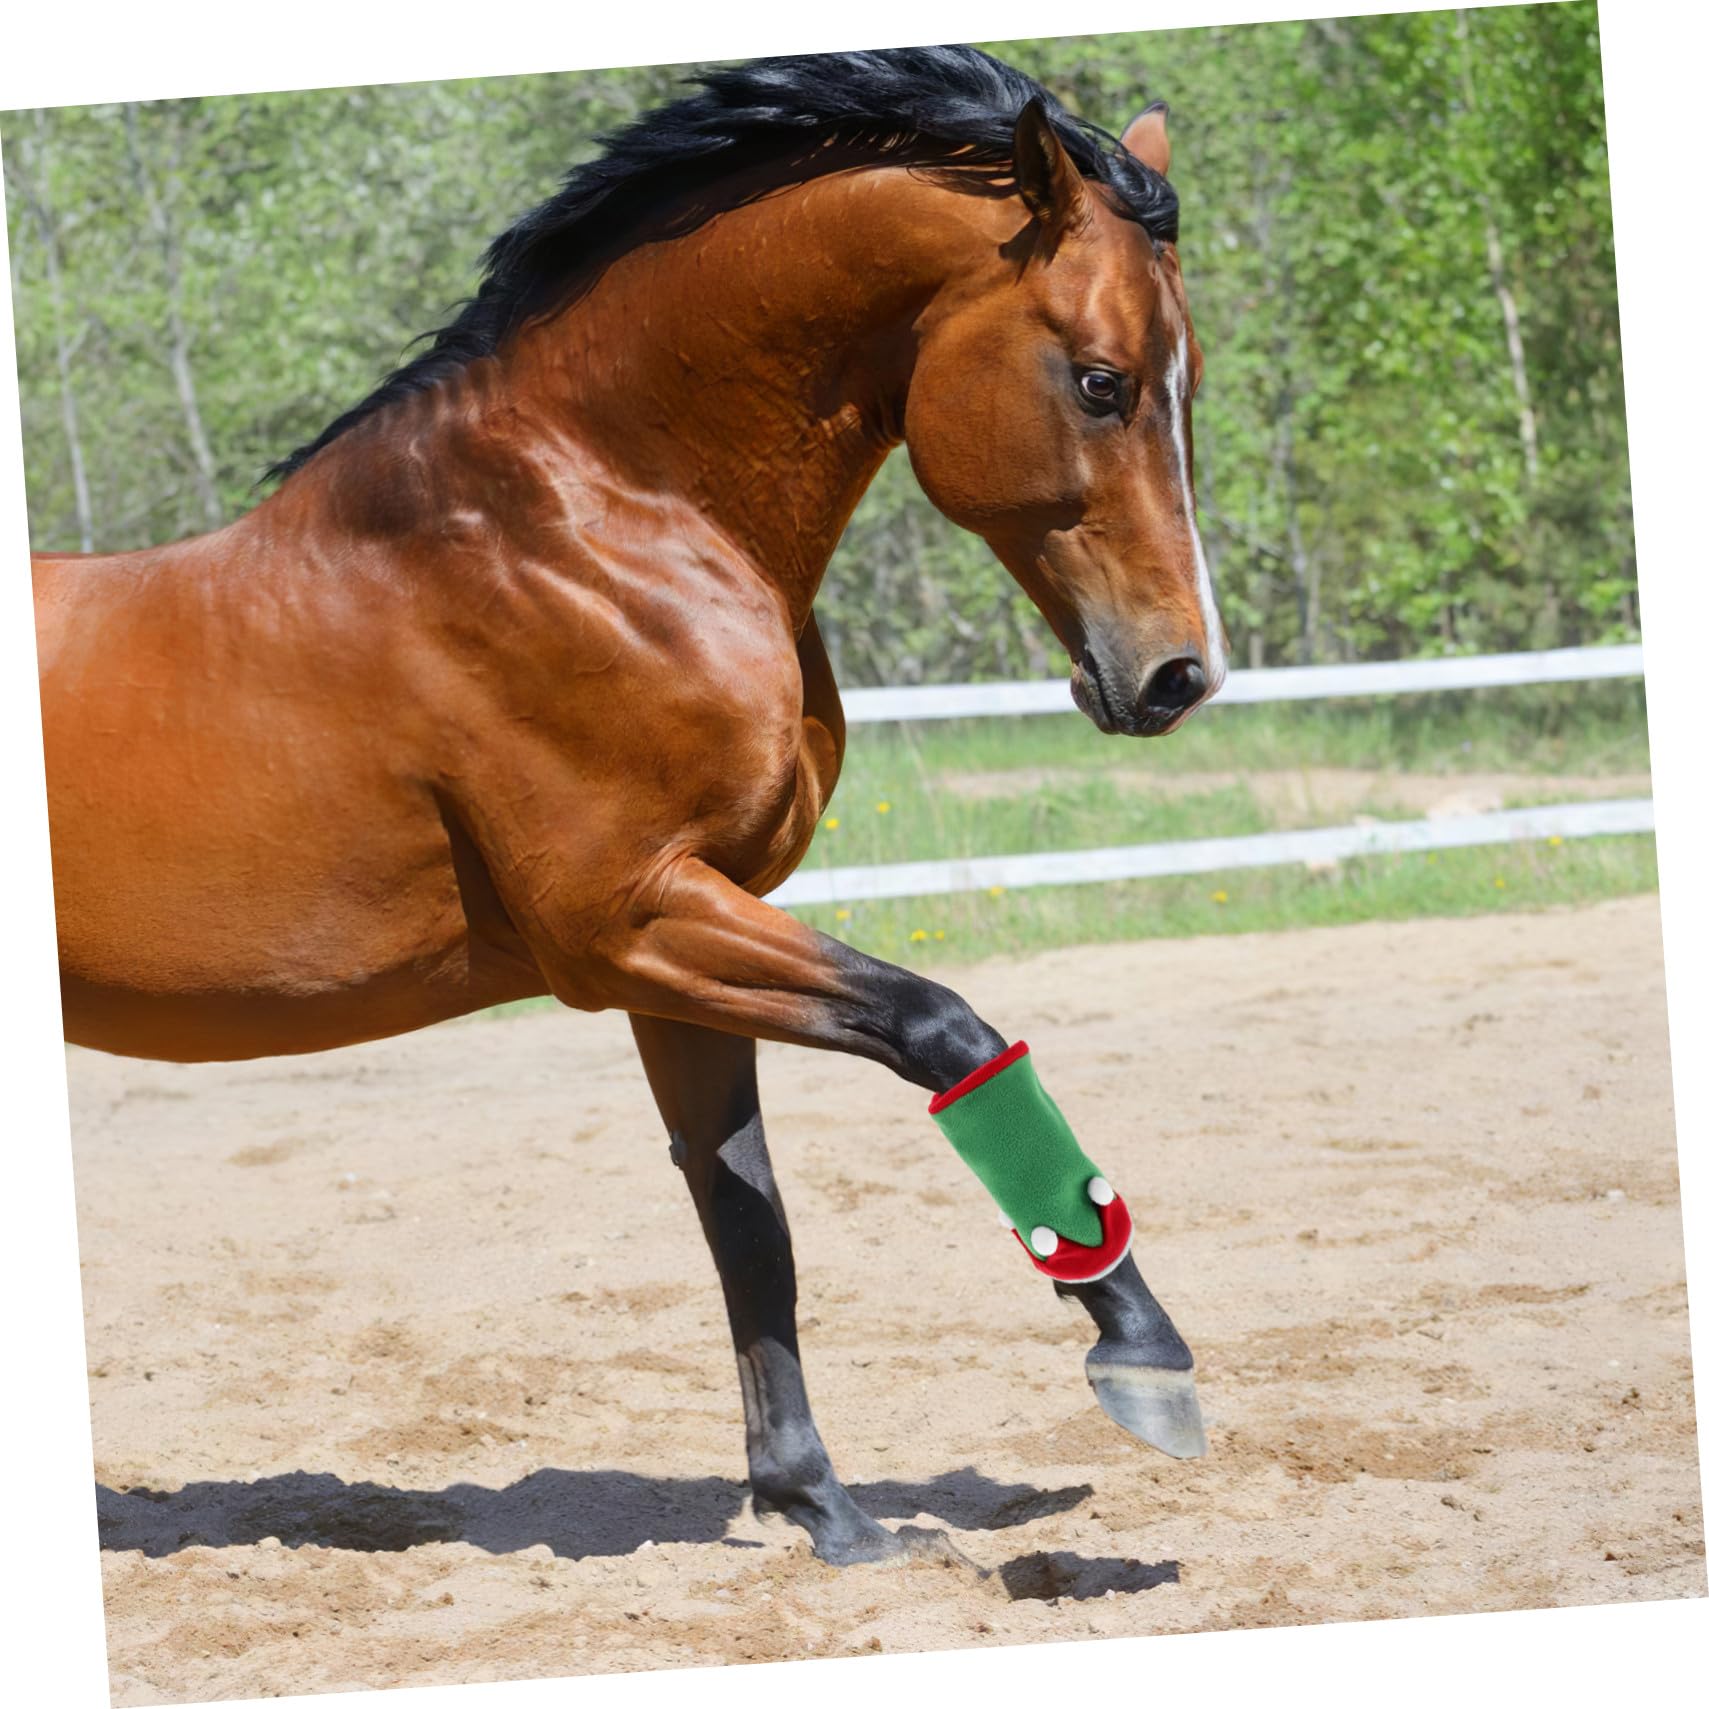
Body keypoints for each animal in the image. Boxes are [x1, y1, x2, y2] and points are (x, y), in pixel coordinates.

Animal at [33, 46, 1227, 1566]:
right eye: (1098, 380)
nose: (1177, 673)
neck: (595, 527)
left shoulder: (689, 940)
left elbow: (747, 1218)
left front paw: (822, 1507)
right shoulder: (626, 924)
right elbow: (942, 1029)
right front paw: (1142, 1351)